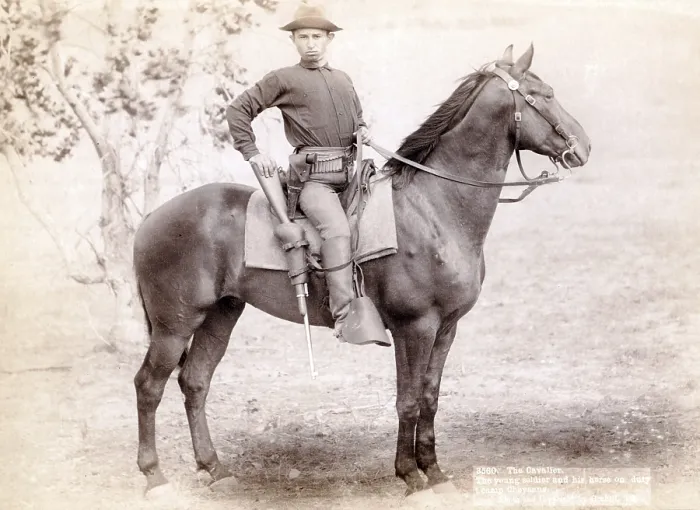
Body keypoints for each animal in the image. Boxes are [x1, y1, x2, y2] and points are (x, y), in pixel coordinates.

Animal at [132, 44, 591, 502]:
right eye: (544, 95)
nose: (584, 146)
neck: (433, 209)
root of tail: (152, 218)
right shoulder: (414, 327)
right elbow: (407, 401)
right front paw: (410, 476)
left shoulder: (446, 328)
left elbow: (430, 397)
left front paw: (435, 471)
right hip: (175, 325)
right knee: (149, 386)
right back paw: (154, 476)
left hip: (221, 315)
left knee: (195, 382)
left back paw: (214, 468)